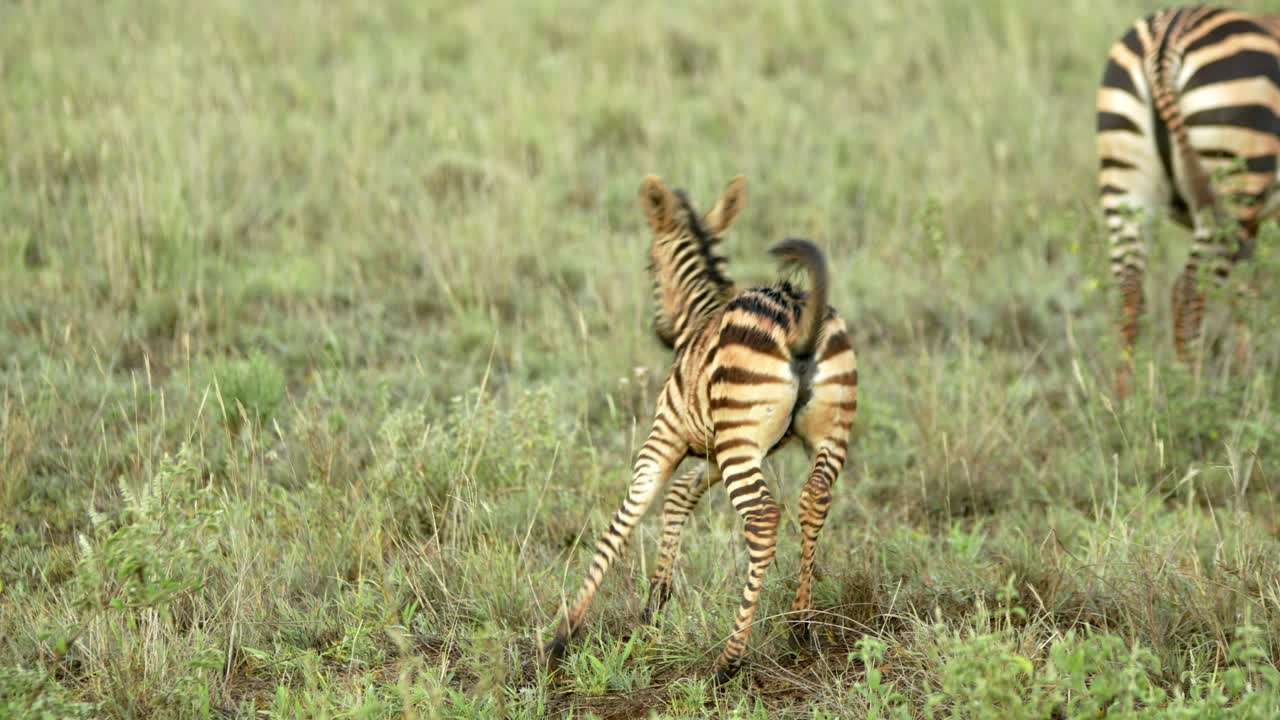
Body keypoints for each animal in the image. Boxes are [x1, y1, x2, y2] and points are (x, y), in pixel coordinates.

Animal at [545, 176, 858, 682]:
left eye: (650, 266)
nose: (662, 333)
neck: (700, 314)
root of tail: (799, 320)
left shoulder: (665, 437)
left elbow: (626, 518)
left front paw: (563, 633)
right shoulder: (711, 451)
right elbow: (679, 497)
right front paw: (654, 605)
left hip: (742, 444)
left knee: (763, 518)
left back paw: (730, 659)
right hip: (825, 435)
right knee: (814, 500)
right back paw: (800, 624)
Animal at [1096, 5, 1279, 391]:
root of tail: (1167, 40)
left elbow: (1246, 293)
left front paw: (1249, 377)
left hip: (1125, 185)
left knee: (1129, 295)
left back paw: (1120, 402)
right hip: (1229, 188)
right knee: (1188, 293)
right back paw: (1195, 395)